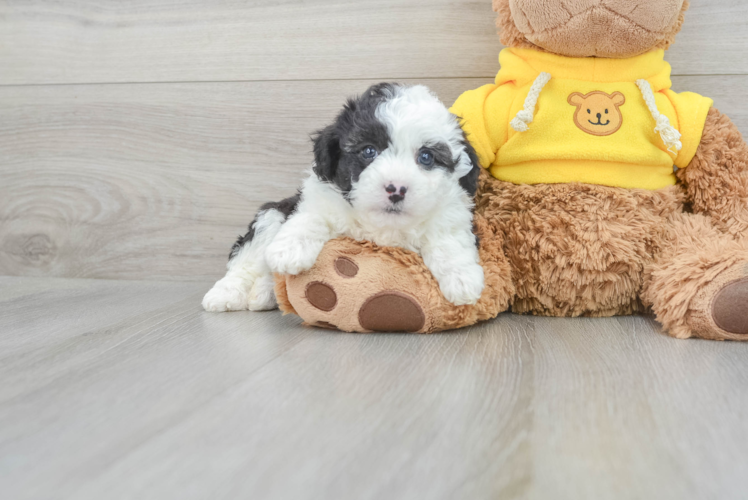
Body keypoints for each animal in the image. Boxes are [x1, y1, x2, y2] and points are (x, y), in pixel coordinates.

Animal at [203, 84, 486, 314]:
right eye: (369, 151)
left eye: (426, 157)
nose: (396, 189)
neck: (381, 226)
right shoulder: (319, 198)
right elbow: (311, 218)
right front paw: (290, 250)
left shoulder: (450, 215)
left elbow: (449, 242)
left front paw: (464, 280)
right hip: (271, 215)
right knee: (246, 261)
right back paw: (225, 295)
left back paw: (264, 293)